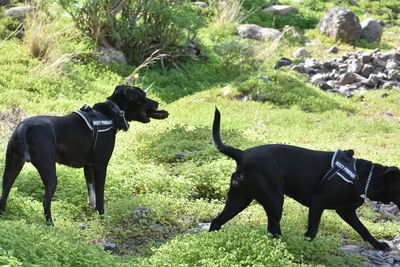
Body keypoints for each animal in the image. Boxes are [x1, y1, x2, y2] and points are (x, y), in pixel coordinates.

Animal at [0, 85, 168, 224]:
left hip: (11, 169)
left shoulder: (88, 166)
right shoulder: (101, 166)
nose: (158, 102)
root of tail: (24, 126)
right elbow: (100, 195)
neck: (110, 114)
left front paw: (92, 212)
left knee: (4, 193)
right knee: (45, 201)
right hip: (50, 174)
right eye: (143, 96)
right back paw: (51, 224)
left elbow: (91, 194)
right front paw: (102, 215)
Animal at [209, 108, 400, 250]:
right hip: (274, 200)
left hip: (240, 199)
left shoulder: (346, 211)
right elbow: (313, 230)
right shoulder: (317, 202)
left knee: (217, 221)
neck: (364, 176)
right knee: (273, 228)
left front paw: (378, 245)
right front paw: (305, 244)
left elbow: (363, 229)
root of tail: (241, 154)